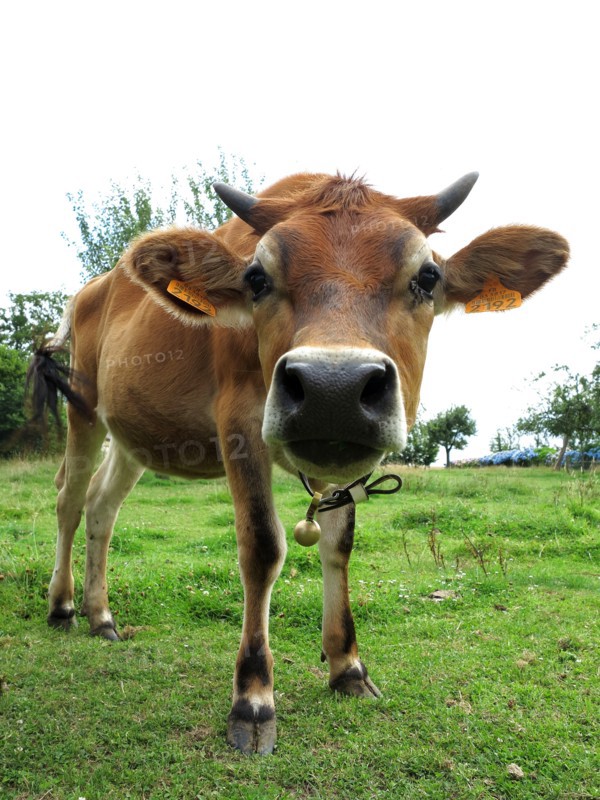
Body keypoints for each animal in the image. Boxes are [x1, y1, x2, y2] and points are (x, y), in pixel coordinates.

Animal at [28, 171, 569, 754]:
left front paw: (347, 666)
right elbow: (263, 547)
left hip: (132, 435)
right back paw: (62, 606)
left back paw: (100, 614)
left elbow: (339, 544)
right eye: (257, 279)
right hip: (84, 408)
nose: (334, 389)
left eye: (428, 276)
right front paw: (253, 699)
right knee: (69, 501)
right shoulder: (239, 422)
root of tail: (94, 286)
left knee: (102, 507)